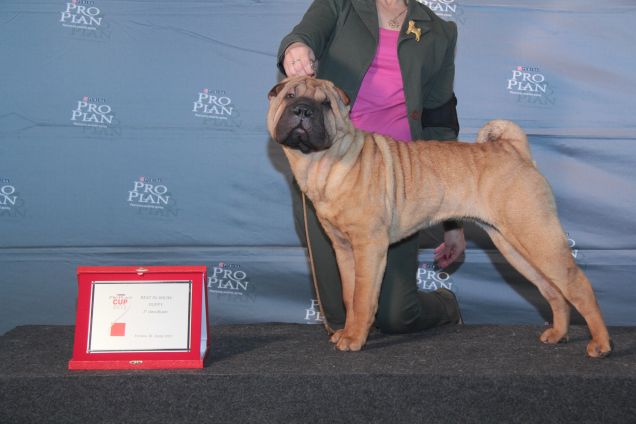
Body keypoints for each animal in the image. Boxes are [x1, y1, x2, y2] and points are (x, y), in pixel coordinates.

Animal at [268, 76, 612, 358]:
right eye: (289, 95)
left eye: (326, 104)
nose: (303, 110)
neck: (325, 161)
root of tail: (514, 149)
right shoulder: (344, 249)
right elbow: (350, 295)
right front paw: (348, 332)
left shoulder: (368, 245)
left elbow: (364, 297)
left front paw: (353, 339)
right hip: (514, 245)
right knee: (552, 290)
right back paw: (557, 334)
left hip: (537, 235)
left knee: (578, 285)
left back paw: (600, 344)